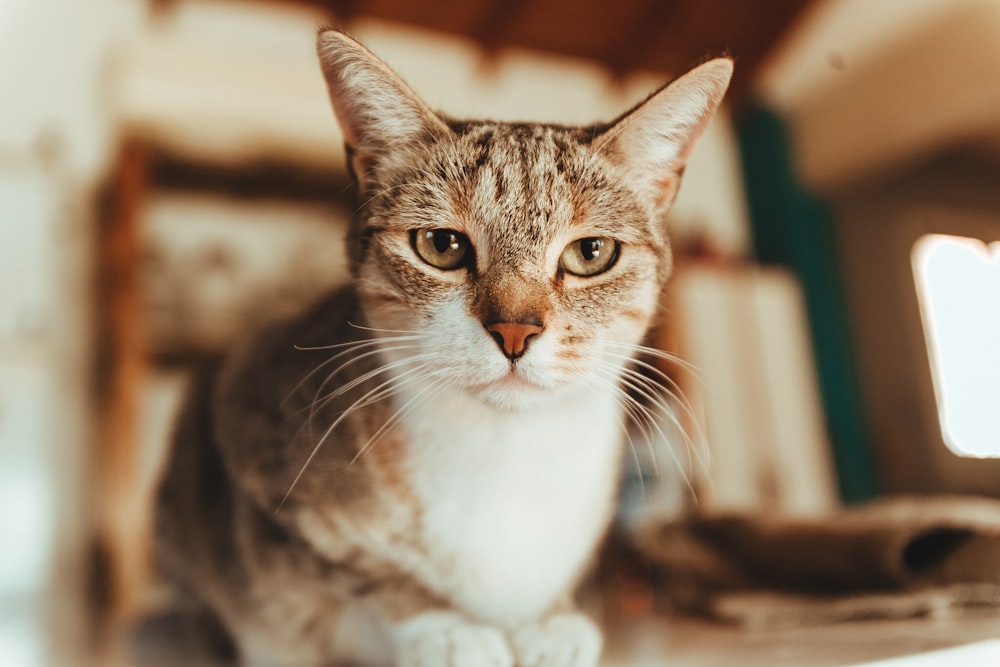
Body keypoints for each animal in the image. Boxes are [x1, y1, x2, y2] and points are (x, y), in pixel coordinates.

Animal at [145, 27, 732, 667]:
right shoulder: (252, 432)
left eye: (591, 253)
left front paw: (551, 621)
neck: (508, 453)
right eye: (442, 245)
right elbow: (362, 568)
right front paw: (447, 628)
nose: (515, 331)